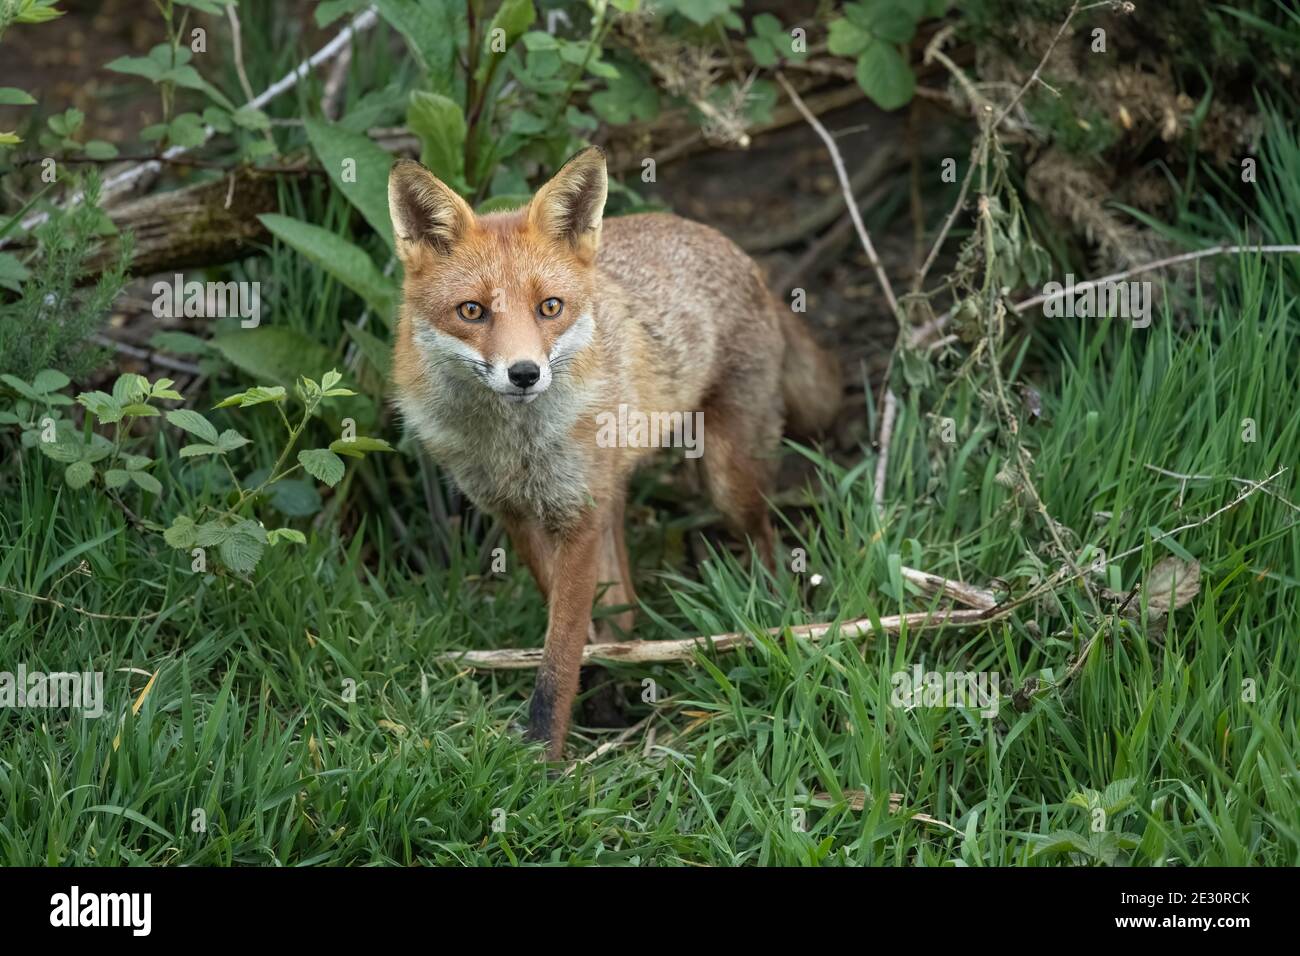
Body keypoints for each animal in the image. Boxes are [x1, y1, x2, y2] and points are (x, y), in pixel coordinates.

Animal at [384, 145, 837, 759]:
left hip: (726, 478)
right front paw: (598, 695)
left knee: (765, 541)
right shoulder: (518, 516)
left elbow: (560, 654)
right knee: (624, 596)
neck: (512, 446)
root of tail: (734, 249)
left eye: (550, 307)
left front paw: (545, 760)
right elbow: (575, 626)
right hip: (616, 489)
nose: (525, 373)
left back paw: (769, 615)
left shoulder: (578, 515)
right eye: (472, 311)